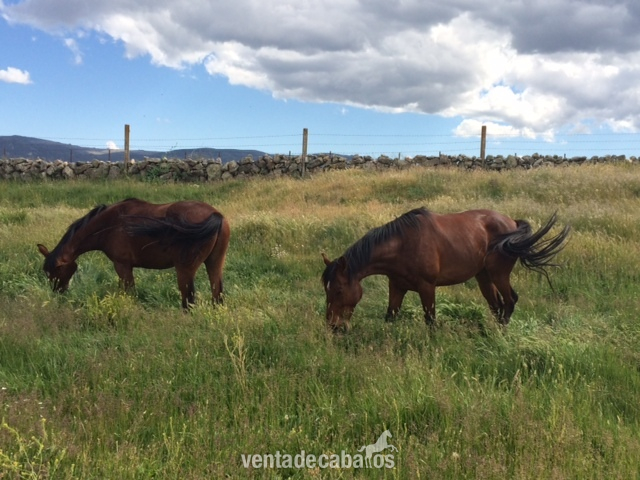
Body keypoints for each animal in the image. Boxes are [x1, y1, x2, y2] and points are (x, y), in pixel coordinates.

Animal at [37, 198, 230, 309]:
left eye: (53, 271)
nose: (57, 292)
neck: (110, 223)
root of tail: (216, 215)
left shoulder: (122, 265)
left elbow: (129, 292)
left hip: (185, 270)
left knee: (189, 302)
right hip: (214, 264)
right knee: (217, 295)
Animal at [321, 207, 570, 332]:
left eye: (339, 290)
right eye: (327, 290)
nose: (334, 326)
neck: (403, 244)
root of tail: (512, 223)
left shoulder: (427, 287)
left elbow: (430, 320)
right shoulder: (397, 286)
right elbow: (390, 316)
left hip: (498, 274)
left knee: (509, 302)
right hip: (483, 277)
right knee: (496, 305)